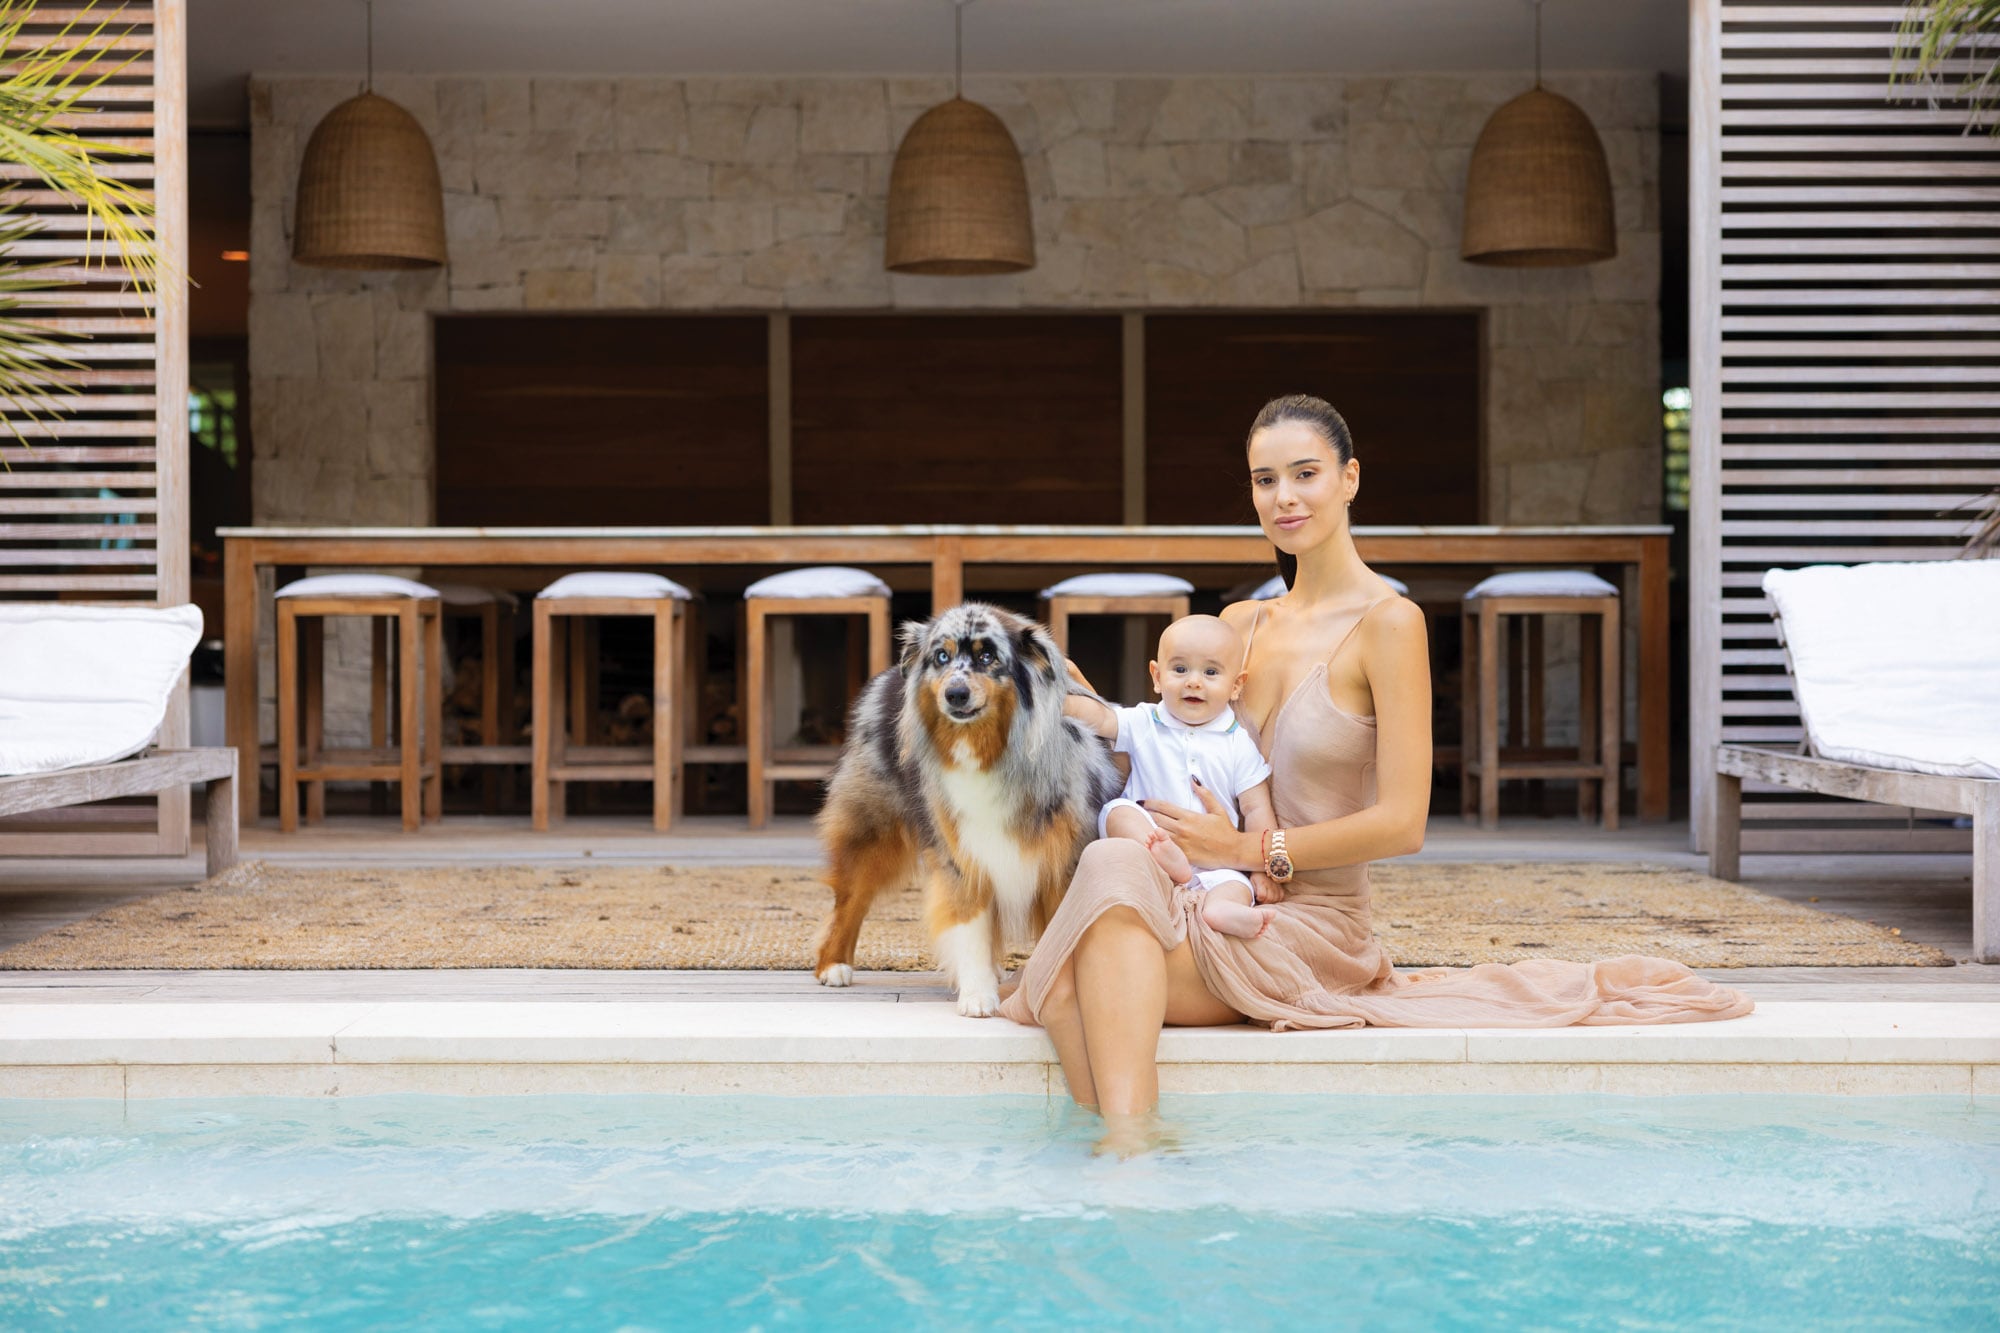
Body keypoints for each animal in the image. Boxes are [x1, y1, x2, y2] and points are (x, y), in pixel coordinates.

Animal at [812, 604, 1128, 1016]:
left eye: (987, 656)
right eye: (941, 657)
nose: (955, 693)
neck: (987, 753)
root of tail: (889, 676)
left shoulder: (1063, 862)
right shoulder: (963, 855)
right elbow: (972, 925)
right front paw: (978, 995)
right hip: (872, 829)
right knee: (850, 898)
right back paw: (833, 965)